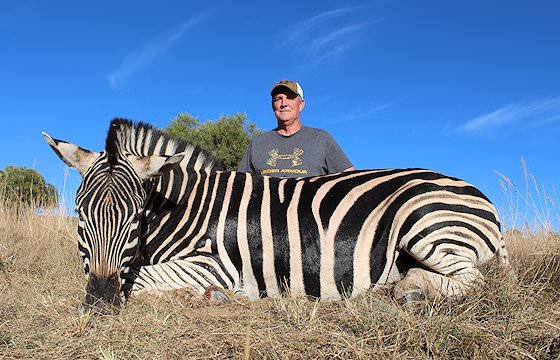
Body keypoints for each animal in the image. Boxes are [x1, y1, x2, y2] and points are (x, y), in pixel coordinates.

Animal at [43, 119, 508, 314]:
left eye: (135, 218)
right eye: (80, 214)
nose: (99, 304)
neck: (183, 209)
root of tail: (479, 196)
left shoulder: (216, 264)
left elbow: (141, 281)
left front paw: (213, 297)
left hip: (425, 223)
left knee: (472, 280)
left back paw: (407, 291)